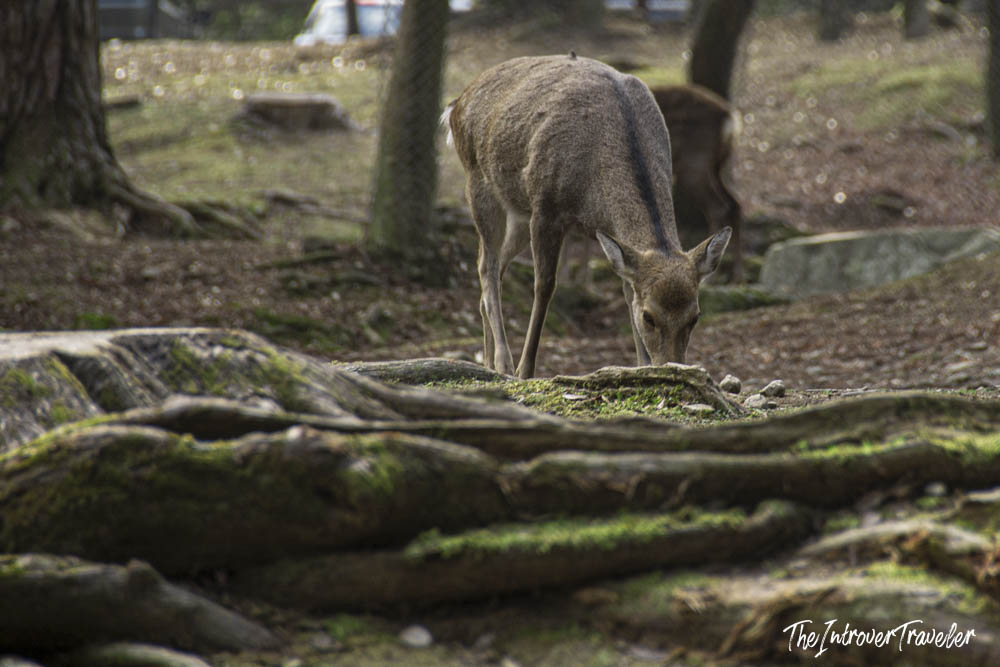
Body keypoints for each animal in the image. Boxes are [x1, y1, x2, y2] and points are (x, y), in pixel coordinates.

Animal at [442, 54, 731, 379]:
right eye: (649, 317)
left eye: (695, 316)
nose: (674, 366)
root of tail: (457, 102)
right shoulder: (546, 208)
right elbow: (545, 286)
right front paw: (525, 371)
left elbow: (626, 290)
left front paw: (641, 365)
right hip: (478, 182)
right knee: (485, 265)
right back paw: (504, 362)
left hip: (518, 212)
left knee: (494, 269)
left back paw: (491, 363)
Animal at [650, 84, 743, 282]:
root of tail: (730, 119)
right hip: (717, 164)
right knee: (735, 203)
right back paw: (738, 275)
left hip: (694, 165)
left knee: (718, 206)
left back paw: (712, 278)